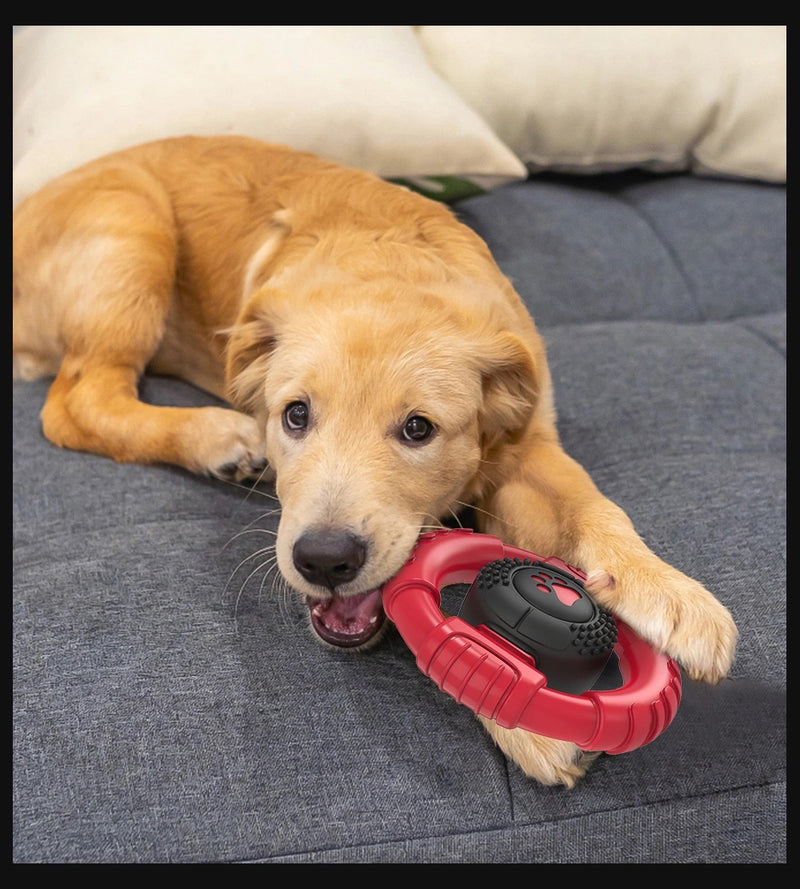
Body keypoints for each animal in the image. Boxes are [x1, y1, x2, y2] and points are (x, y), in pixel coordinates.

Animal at [12, 132, 736, 784]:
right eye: (295, 415)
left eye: (418, 428)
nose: (324, 561)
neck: (388, 268)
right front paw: (528, 724)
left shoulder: (527, 446)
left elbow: (592, 504)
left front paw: (671, 593)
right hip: (131, 227)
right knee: (75, 402)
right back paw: (220, 438)